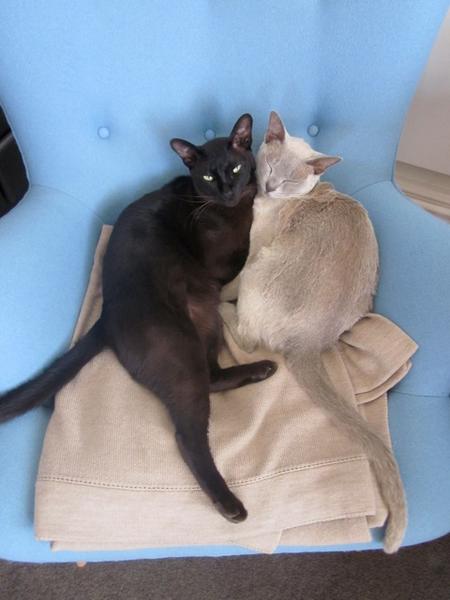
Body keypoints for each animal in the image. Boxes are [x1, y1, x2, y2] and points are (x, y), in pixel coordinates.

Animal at [0, 114, 277, 523]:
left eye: (235, 168)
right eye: (207, 177)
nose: (228, 190)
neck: (231, 210)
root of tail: (106, 316)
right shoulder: (219, 264)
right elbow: (246, 252)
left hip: (205, 323)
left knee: (213, 377)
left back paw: (262, 370)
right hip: (180, 347)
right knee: (187, 436)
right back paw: (229, 504)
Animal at [220, 111, 406, 552]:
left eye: (289, 181)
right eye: (270, 168)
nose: (270, 187)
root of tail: (308, 345)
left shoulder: (253, 251)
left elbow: (230, 284)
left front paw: (217, 294)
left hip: (260, 270)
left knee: (246, 335)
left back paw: (220, 310)